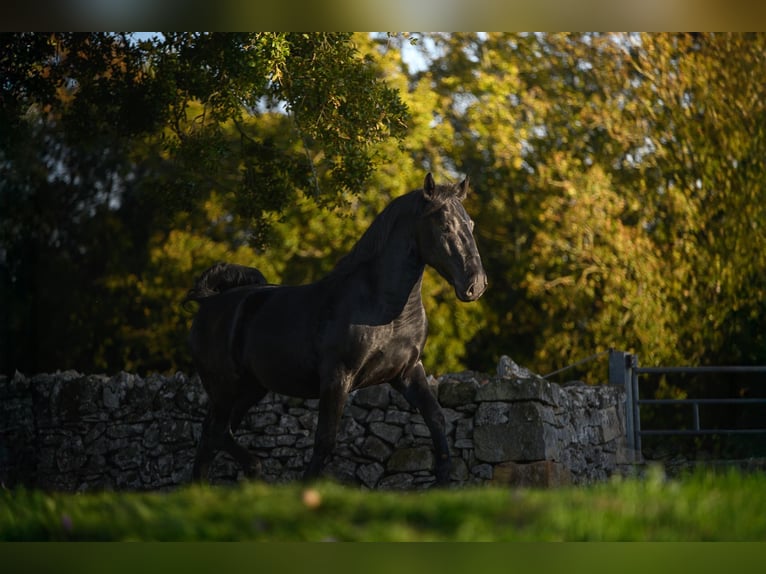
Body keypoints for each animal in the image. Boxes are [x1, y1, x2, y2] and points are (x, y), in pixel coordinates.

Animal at [184, 172, 487, 486]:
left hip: (249, 389)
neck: (382, 307)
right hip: (225, 387)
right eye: (444, 225)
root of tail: (209, 301)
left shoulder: (407, 372)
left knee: (211, 437)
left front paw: (443, 480)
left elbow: (436, 419)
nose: (475, 285)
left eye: (471, 224)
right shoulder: (337, 378)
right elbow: (325, 440)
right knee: (218, 431)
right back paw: (253, 469)